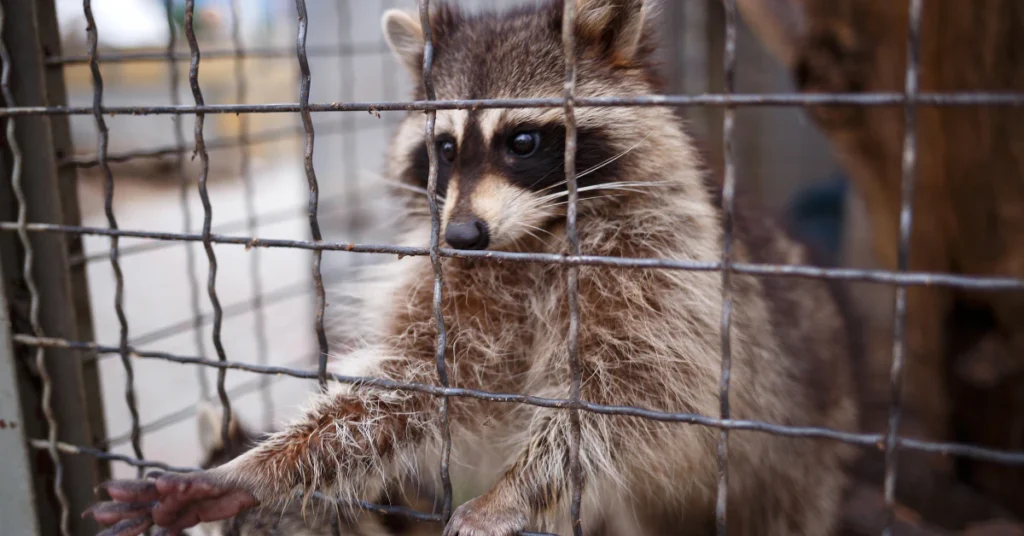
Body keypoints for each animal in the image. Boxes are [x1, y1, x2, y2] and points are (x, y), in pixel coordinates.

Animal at [87, 1, 857, 535]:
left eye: (523, 141)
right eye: (447, 148)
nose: (462, 234)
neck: (530, 238)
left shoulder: (661, 268)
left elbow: (632, 392)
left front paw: (518, 488)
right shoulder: (454, 282)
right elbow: (409, 387)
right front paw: (252, 470)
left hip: (800, 467)